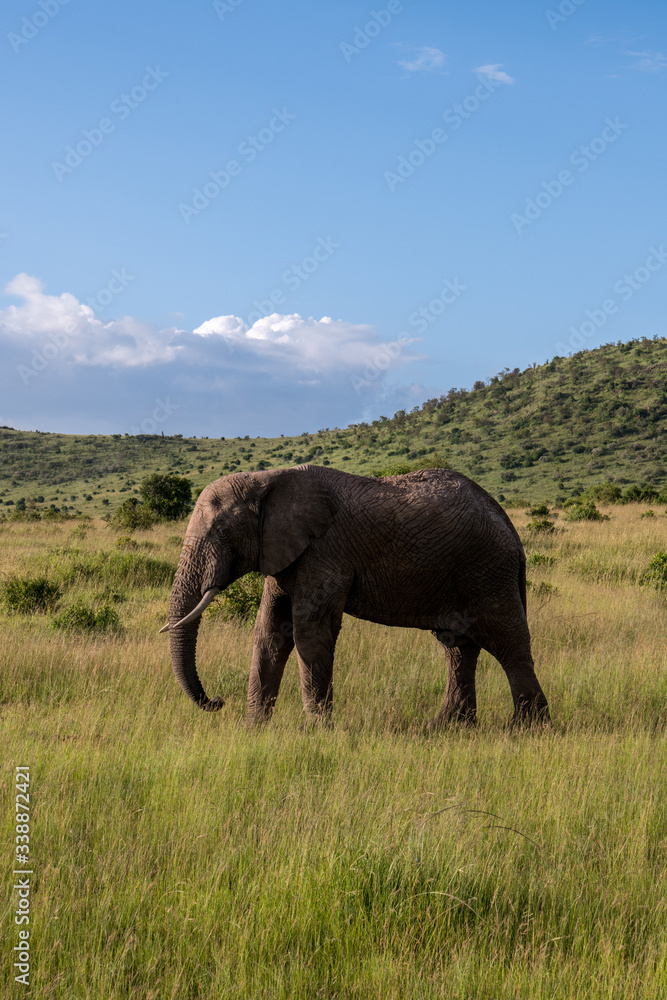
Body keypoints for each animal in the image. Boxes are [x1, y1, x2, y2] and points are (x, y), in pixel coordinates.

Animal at [161, 464, 549, 727]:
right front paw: (255, 729)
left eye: (221, 531)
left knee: (508, 643)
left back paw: (526, 729)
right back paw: (447, 727)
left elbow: (309, 631)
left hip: (487, 571)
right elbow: (270, 631)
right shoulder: (284, 551)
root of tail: (510, 528)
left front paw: (316, 731)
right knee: (458, 647)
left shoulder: (325, 551)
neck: (267, 479)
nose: (216, 701)